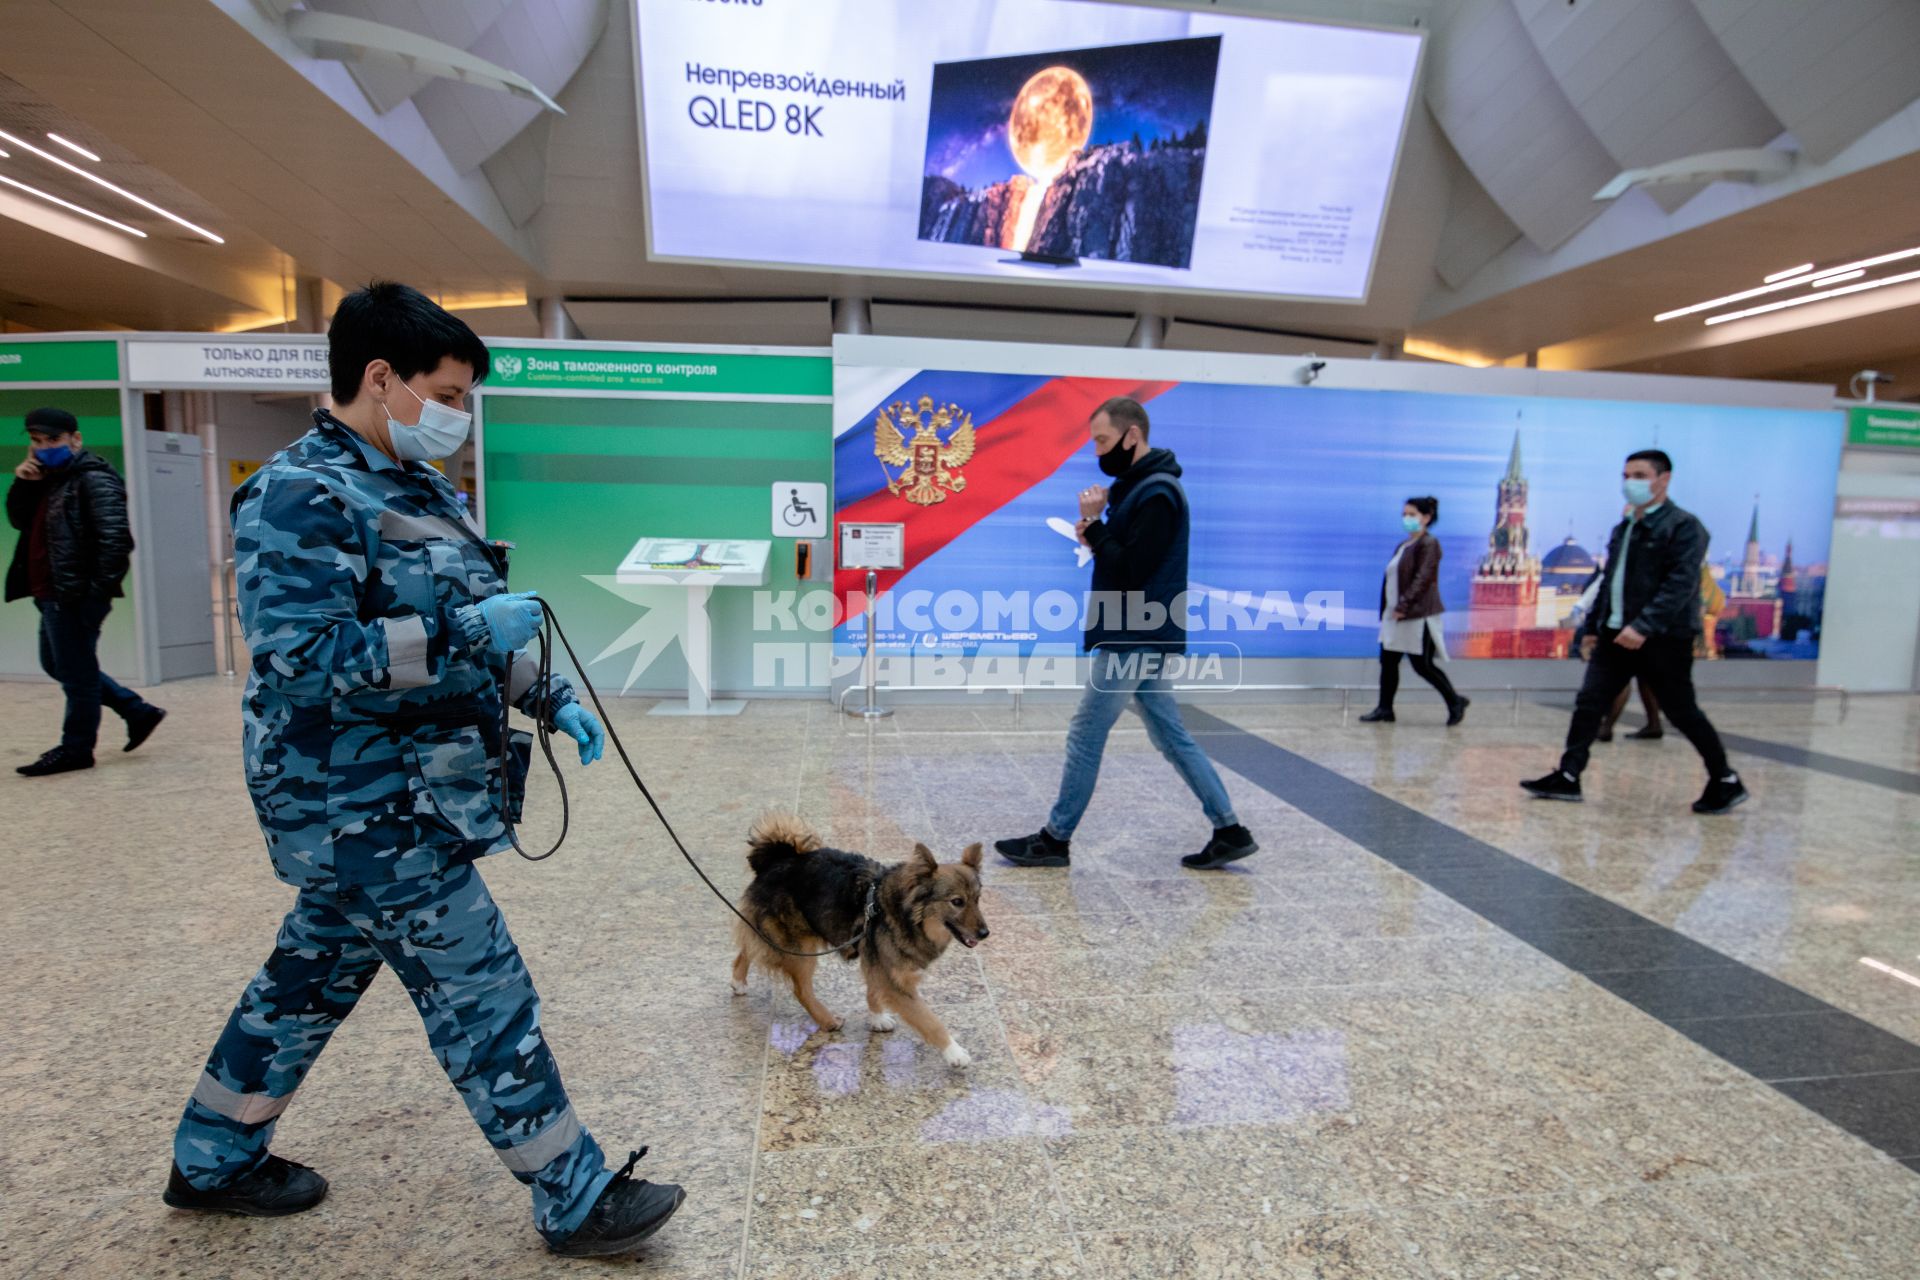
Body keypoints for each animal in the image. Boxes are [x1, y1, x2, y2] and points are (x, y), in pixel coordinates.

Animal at [721, 817, 983, 1066]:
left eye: (978, 899)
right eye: (957, 902)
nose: (985, 933)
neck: (905, 912)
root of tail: (774, 860)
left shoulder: (876, 960)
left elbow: (873, 989)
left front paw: (877, 1018)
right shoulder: (895, 983)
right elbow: (929, 1020)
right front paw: (954, 1052)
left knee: (748, 946)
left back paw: (738, 980)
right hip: (799, 947)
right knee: (800, 989)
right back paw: (827, 1020)